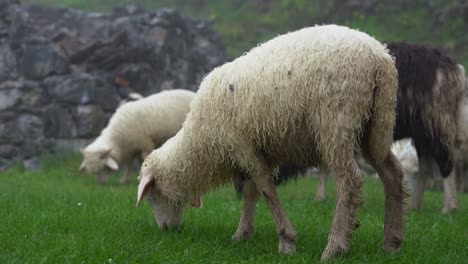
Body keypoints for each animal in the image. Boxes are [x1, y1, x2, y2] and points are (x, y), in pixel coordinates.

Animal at [136, 24, 406, 260]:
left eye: (151, 195)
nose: (167, 230)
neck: (200, 143)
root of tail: (378, 58)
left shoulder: (241, 145)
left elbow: (266, 189)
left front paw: (286, 240)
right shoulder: (262, 149)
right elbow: (251, 192)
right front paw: (242, 234)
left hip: (336, 120)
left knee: (350, 181)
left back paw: (334, 247)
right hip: (377, 123)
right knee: (391, 172)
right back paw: (391, 243)